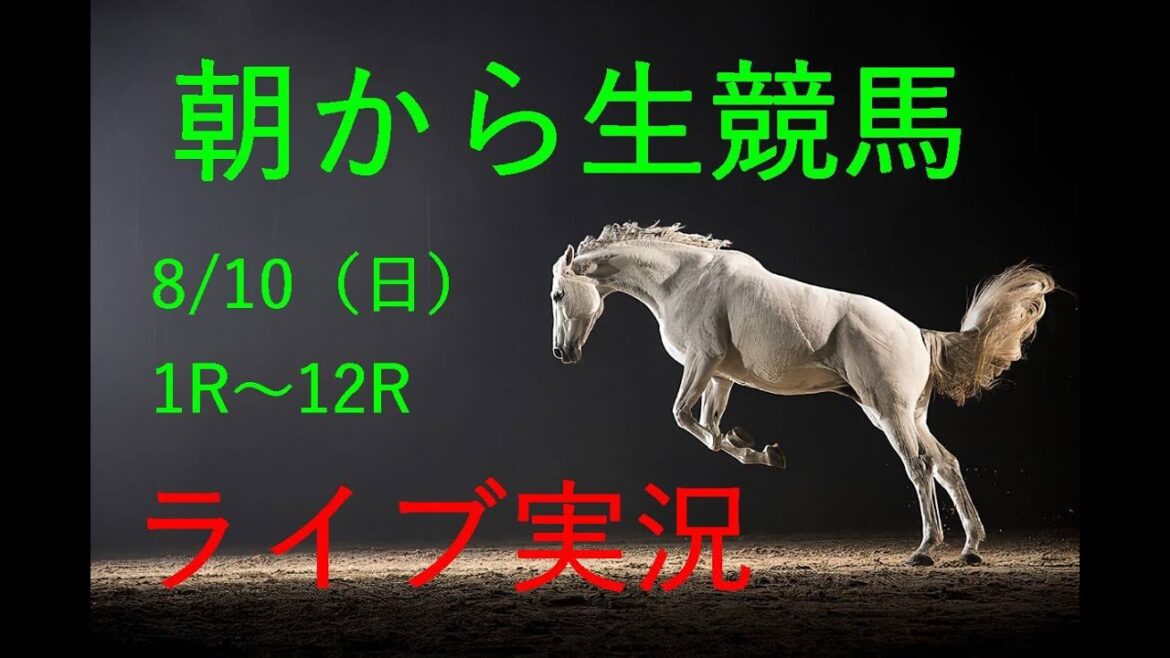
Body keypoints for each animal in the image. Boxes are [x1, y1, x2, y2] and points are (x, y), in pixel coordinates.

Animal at [549, 222, 1056, 566]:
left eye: (557, 295)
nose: (561, 352)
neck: (684, 279)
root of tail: (918, 333)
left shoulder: (702, 362)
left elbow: (683, 417)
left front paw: (756, 448)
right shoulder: (720, 376)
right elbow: (709, 429)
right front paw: (760, 449)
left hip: (890, 413)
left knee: (920, 467)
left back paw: (926, 550)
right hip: (905, 415)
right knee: (946, 464)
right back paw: (970, 547)